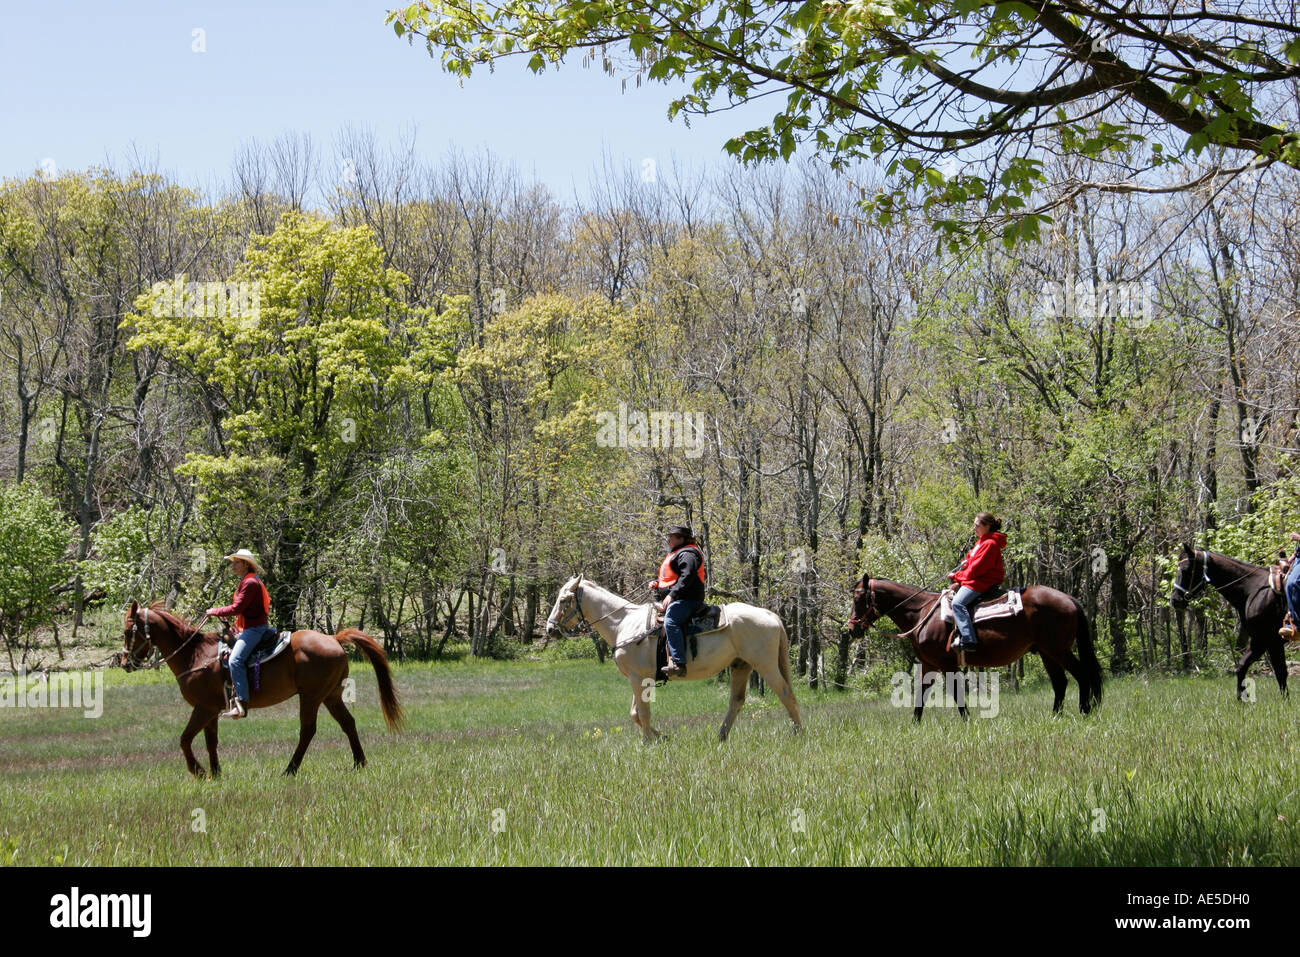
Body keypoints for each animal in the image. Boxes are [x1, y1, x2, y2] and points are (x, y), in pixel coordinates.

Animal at [124, 605, 405, 780]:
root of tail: (334, 639)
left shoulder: (203, 708)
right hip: (331, 696)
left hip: (311, 697)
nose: (125, 662)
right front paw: (215, 773)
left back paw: (290, 770)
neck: (195, 655)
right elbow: (210, 741)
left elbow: (185, 739)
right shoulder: (211, 710)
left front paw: (199, 772)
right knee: (348, 723)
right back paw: (359, 762)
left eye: (128, 631)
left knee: (308, 730)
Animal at [540, 574, 800, 738]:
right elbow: (635, 713)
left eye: (564, 600)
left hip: (764, 664)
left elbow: (643, 713)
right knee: (736, 701)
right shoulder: (640, 678)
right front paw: (661, 736)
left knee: (785, 693)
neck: (624, 623)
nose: (550, 629)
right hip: (741, 665)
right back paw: (721, 736)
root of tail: (770, 615)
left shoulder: (638, 677)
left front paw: (647, 741)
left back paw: (798, 732)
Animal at [847, 572, 1102, 722]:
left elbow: (957, 693)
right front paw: (914, 724)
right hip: (1047, 653)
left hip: (1059, 650)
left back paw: (1084, 711)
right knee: (1060, 682)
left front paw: (967, 720)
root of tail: (1069, 599)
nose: (852, 629)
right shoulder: (929, 664)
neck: (922, 613)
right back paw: (1055, 716)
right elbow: (921, 694)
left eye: (858, 598)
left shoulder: (947, 665)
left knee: (1081, 674)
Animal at [1170, 546, 1289, 702]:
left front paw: (1243, 698)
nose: (1174, 600)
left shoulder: (1264, 640)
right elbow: (1271, 671)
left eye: (1186, 569)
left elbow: (1273, 671)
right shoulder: (1271, 642)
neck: (1253, 589)